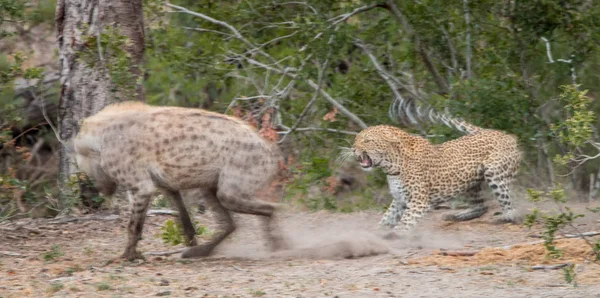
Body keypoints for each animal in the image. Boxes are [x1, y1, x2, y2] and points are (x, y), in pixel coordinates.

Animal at [72, 101, 288, 260]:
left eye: (86, 170)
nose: (98, 189)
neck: (100, 139)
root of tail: (272, 151)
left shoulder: (141, 186)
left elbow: (133, 225)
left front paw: (126, 256)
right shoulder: (166, 186)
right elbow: (184, 218)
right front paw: (191, 242)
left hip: (233, 186)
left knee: (270, 208)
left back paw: (279, 245)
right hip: (210, 186)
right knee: (231, 222)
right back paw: (200, 251)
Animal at [344, 100, 524, 233]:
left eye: (367, 141)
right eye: (356, 139)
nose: (352, 149)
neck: (391, 167)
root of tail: (503, 134)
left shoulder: (418, 201)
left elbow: (404, 223)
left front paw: (393, 236)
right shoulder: (399, 201)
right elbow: (386, 219)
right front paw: (375, 234)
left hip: (494, 173)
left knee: (512, 207)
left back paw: (504, 217)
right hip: (467, 183)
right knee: (481, 207)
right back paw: (455, 216)